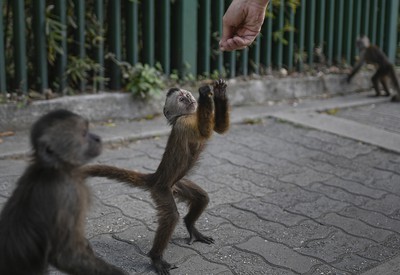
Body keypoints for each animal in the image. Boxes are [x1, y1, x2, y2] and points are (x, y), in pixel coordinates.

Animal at [83, 78, 230, 274]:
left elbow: (220, 129)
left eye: (187, 95)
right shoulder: (185, 122)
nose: (191, 99)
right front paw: (205, 94)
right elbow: (205, 132)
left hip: (177, 185)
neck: (188, 115)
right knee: (171, 216)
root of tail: (157, 176)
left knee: (202, 197)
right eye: (182, 99)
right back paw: (156, 258)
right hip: (161, 190)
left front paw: (219, 93)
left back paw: (191, 226)